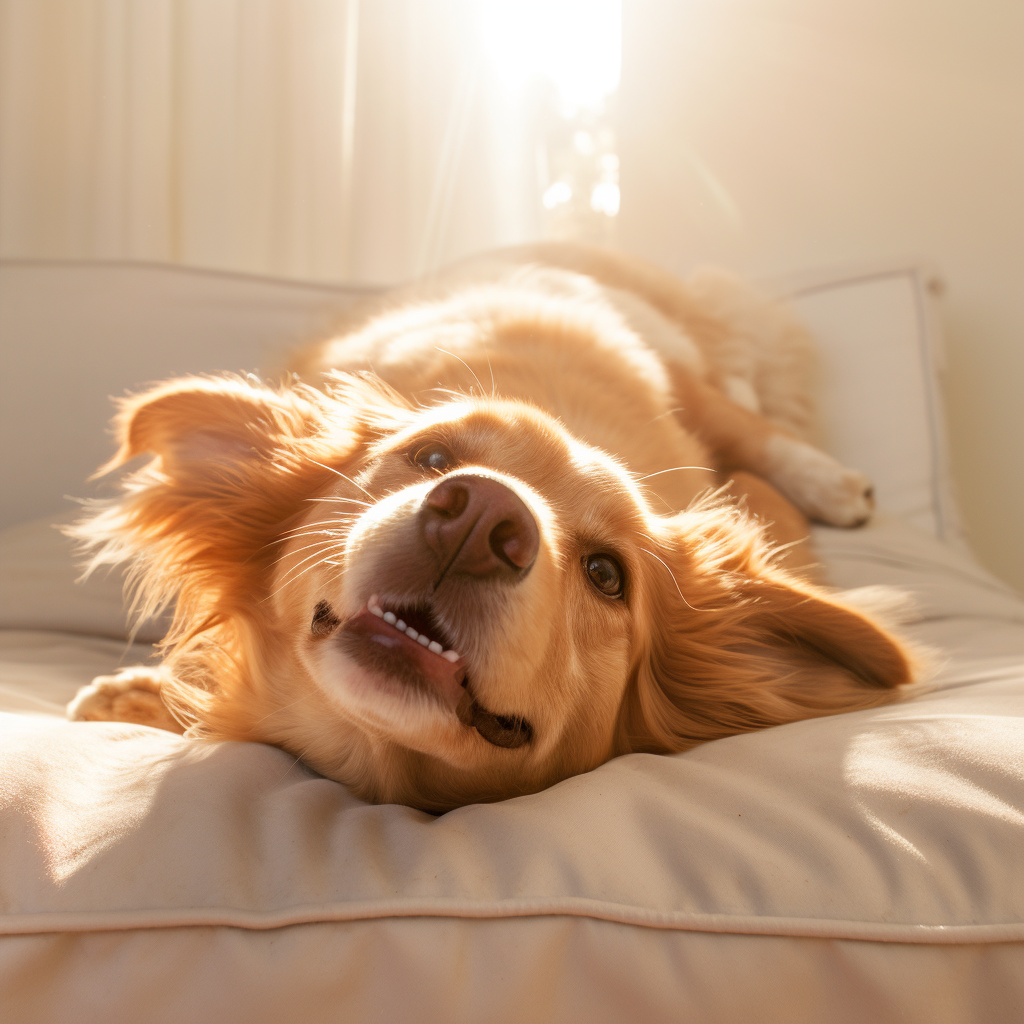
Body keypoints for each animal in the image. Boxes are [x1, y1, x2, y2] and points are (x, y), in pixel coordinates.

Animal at [70, 243, 921, 811]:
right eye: (431, 456)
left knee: (751, 428)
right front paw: (142, 694)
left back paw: (832, 483)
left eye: (607, 574)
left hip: (682, 381)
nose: (478, 517)